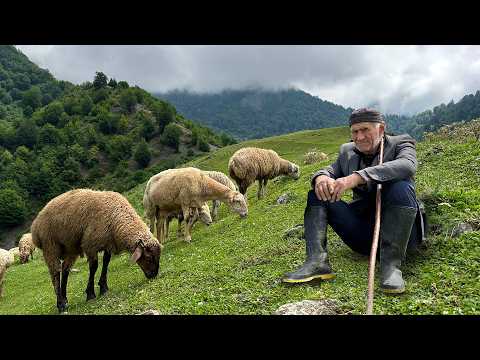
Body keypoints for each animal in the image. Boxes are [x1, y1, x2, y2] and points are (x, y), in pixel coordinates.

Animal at [32, 188, 163, 312]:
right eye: (148, 258)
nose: (153, 275)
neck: (117, 215)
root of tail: (35, 225)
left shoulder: (107, 243)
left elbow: (106, 262)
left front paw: (103, 288)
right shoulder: (90, 245)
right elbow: (94, 267)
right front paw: (90, 293)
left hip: (71, 247)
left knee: (65, 270)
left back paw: (64, 299)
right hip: (50, 245)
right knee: (55, 273)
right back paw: (61, 304)